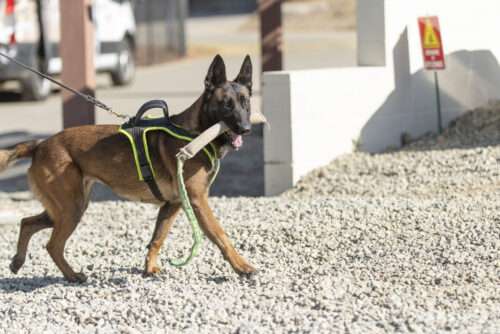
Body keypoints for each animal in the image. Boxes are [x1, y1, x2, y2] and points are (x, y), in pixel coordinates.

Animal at [0, 54, 258, 282]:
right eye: (226, 105)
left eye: (246, 103)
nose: (246, 129)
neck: (194, 134)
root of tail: (39, 144)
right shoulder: (198, 201)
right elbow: (221, 235)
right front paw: (242, 266)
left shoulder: (173, 204)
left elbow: (157, 238)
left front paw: (149, 268)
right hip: (71, 209)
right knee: (52, 244)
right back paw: (71, 275)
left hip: (67, 208)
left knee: (27, 222)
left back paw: (18, 261)